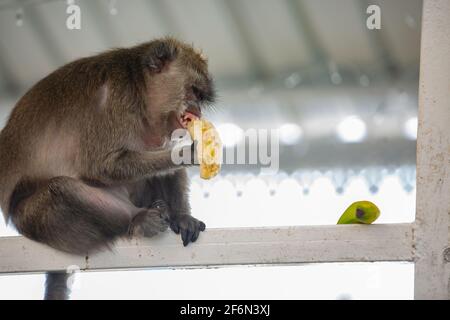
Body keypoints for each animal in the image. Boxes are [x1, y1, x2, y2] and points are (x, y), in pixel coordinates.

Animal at [0, 38, 216, 300]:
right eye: (194, 91)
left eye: (201, 97)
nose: (198, 111)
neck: (140, 91)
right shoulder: (115, 99)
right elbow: (100, 165)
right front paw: (188, 153)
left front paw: (182, 216)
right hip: (28, 218)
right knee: (60, 191)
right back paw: (137, 219)